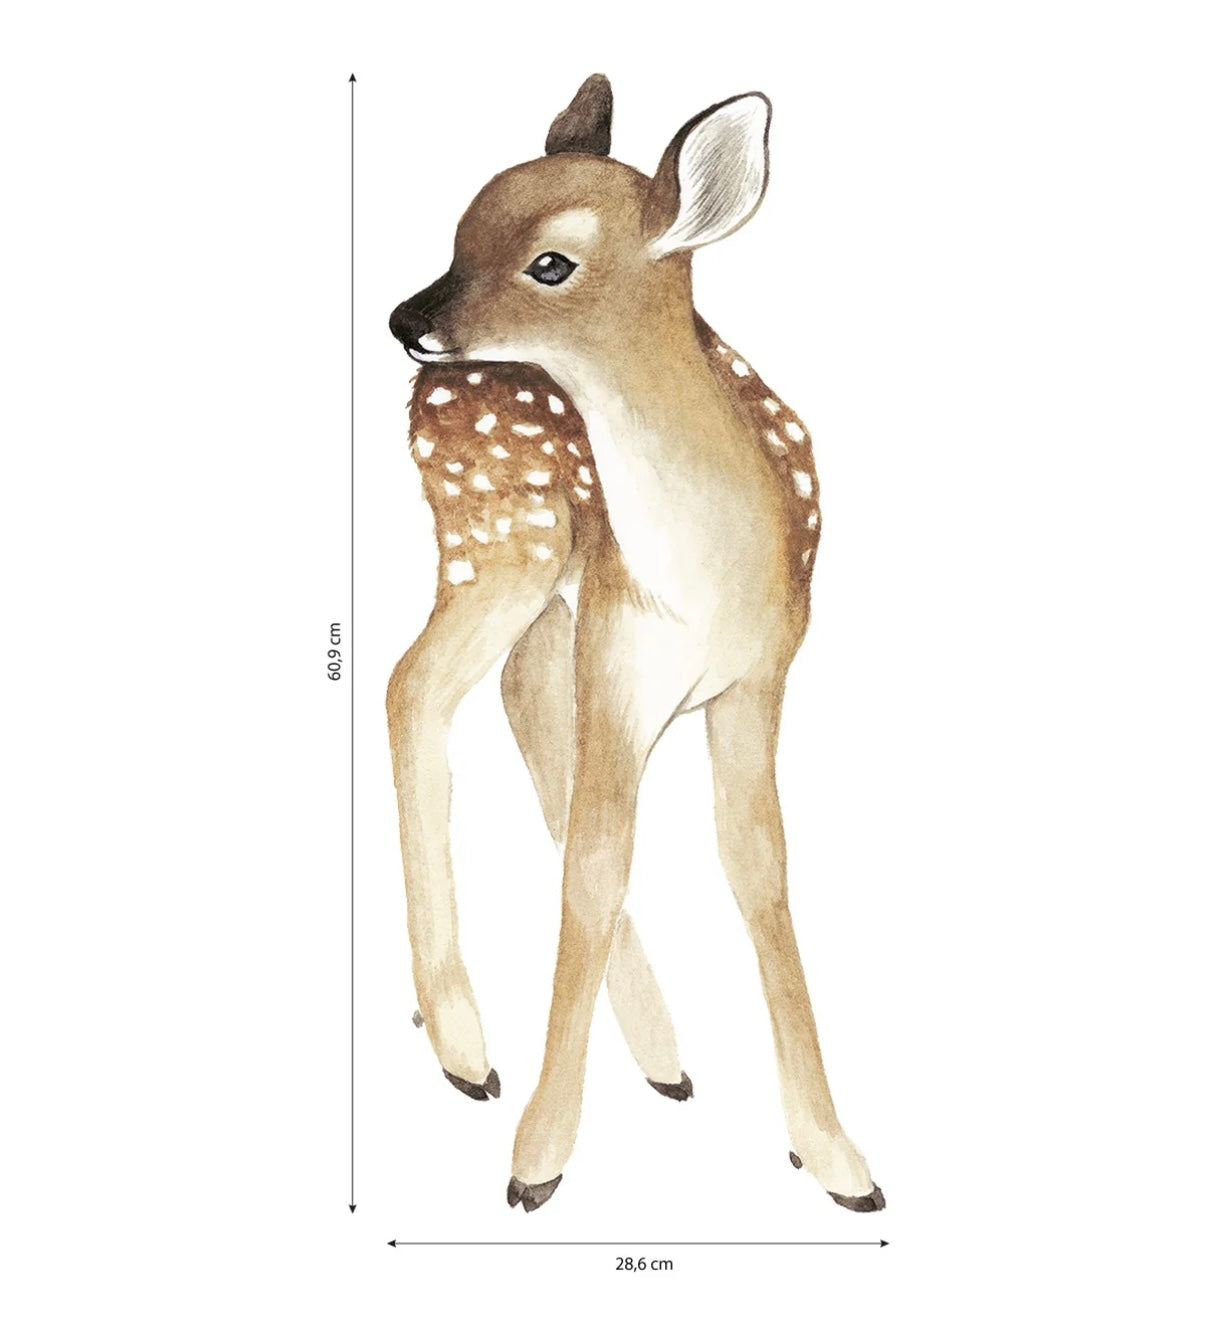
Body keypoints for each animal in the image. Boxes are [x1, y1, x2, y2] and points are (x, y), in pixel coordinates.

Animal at [386, 75, 884, 1215]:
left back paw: (657, 1055)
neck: (706, 577)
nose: (406, 317)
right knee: (415, 688)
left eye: (550, 262)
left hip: (546, 583)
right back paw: (468, 1046)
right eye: (459, 228)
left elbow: (758, 869)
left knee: (513, 698)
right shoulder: (623, 661)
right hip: (500, 544)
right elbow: (599, 865)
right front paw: (537, 1159)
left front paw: (835, 1154)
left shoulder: (759, 677)